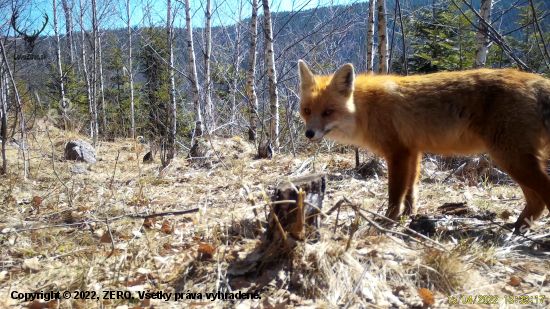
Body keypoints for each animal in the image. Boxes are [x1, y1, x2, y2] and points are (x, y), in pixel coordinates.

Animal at [298, 60, 550, 232]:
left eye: (329, 112)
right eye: (307, 111)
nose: (309, 134)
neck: (364, 109)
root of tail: (536, 80)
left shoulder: (397, 153)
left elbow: (395, 194)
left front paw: (388, 221)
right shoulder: (413, 151)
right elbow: (411, 190)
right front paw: (410, 216)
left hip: (510, 158)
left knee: (543, 194)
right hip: (515, 160)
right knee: (536, 202)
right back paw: (517, 228)